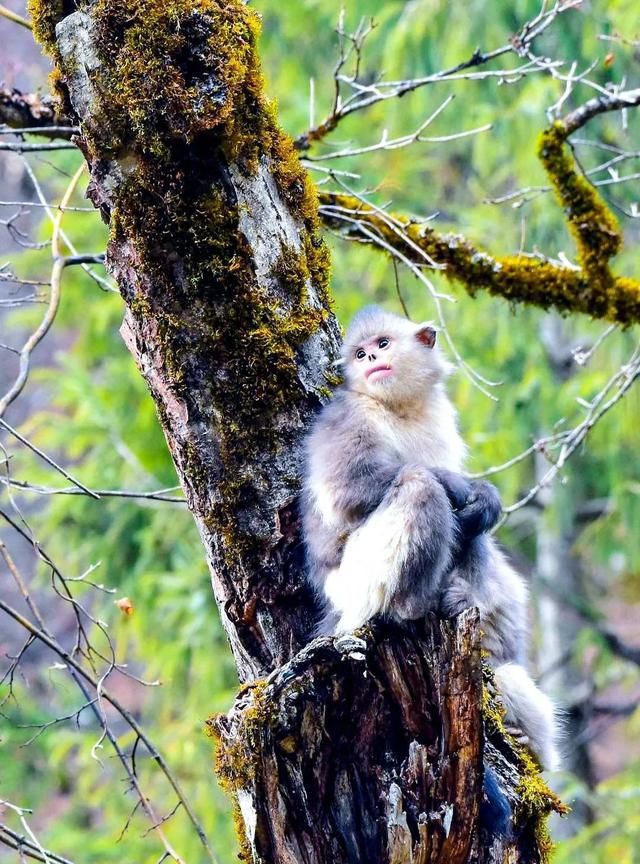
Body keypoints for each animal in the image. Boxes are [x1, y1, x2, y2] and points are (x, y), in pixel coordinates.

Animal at [302, 304, 556, 768]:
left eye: (383, 344)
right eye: (360, 353)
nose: (371, 359)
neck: (398, 406)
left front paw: (485, 498)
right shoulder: (347, 416)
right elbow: (350, 488)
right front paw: (458, 485)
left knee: (470, 531)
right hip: (357, 582)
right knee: (420, 486)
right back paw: (411, 607)